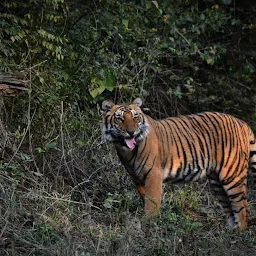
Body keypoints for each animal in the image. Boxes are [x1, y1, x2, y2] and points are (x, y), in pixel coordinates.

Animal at [101, 97, 255, 230]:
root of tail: (242, 123)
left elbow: (152, 201)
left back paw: (239, 232)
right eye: (120, 118)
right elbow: (146, 198)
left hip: (232, 174)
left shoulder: (153, 174)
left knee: (242, 206)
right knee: (229, 207)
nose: (131, 132)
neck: (126, 150)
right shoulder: (136, 177)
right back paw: (230, 232)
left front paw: (149, 222)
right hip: (217, 181)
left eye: (135, 117)